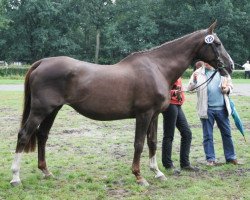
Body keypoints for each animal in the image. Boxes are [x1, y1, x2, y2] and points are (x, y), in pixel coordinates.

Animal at [10, 20, 232, 186]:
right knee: (24, 135)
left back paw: (46, 172)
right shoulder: (143, 114)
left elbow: (152, 142)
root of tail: (42, 62)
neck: (156, 67)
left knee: (42, 136)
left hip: (52, 110)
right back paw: (15, 177)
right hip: (40, 110)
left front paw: (157, 172)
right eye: (217, 43)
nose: (230, 65)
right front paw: (139, 176)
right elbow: (139, 144)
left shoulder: (154, 115)